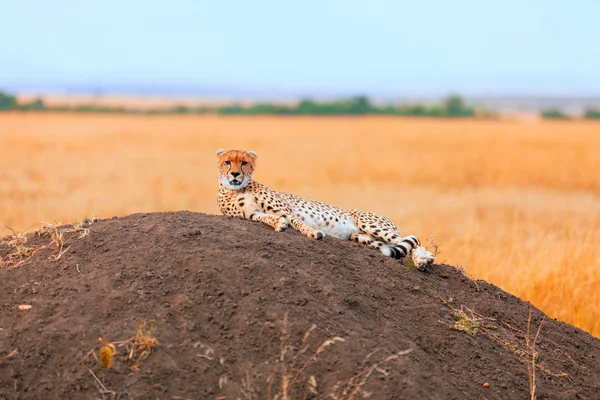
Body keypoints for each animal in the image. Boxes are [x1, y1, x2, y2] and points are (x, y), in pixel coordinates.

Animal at [216, 148, 436, 268]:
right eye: (227, 162)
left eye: (244, 163)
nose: (235, 174)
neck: (237, 189)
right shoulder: (253, 214)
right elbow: (268, 219)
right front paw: (279, 225)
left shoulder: (285, 210)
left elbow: (297, 222)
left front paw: (313, 233)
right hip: (364, 239)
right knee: (400, 247)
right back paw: (422, 260)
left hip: (370, 225)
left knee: (412, 240)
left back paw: (423, 260)